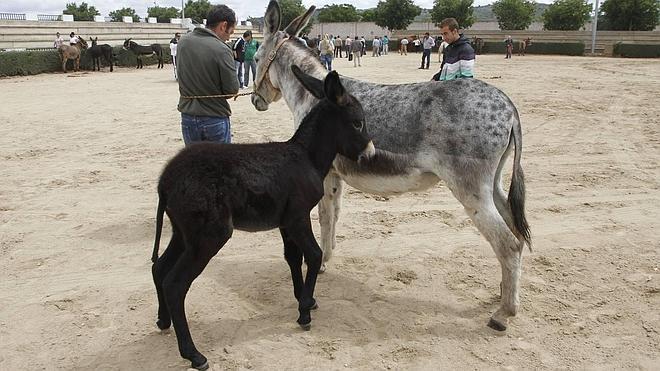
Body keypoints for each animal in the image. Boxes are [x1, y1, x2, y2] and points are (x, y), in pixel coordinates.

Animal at [151, 67, 374, 371]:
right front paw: (304, 313)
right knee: (174, 285)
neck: (305, 156)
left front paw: (304, 299)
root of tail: (165, 180)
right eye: (357, 123)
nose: (370, 154)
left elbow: (293, 258)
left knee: (159, 268)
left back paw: (164, 321)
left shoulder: (285, 222)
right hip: (209, 236)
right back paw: (194, 354)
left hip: (182, 233)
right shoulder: (298, 217)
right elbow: (314, 255)